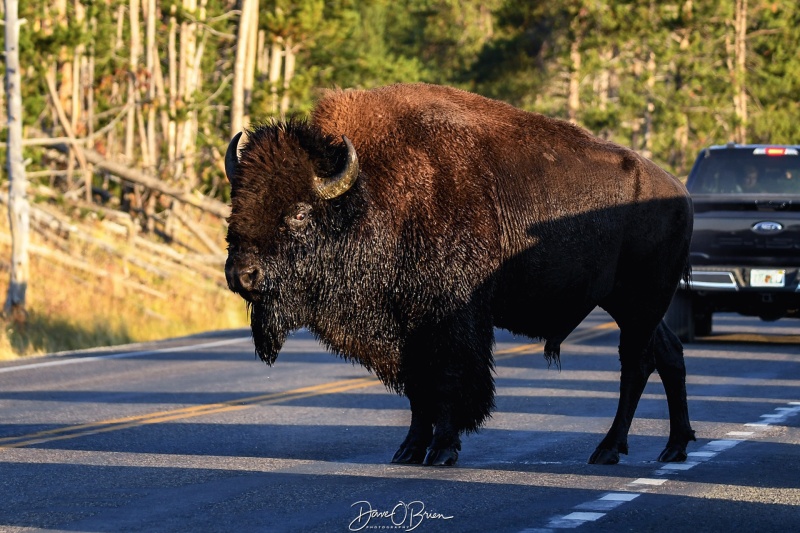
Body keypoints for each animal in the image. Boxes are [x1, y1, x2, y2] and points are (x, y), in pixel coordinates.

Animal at [223, 83, 692, 466]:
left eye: (300, 212)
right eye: (236, 204)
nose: (242, 274)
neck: (369, 195)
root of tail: (680, 191)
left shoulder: (449, 321)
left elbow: (449, 381)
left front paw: (443, 450)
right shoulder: (405, 328)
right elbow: (418, 390)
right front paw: (408, 450)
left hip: (639, 303)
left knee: (636, 364)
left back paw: (608, 449)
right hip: (632, 305)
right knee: (668, 353)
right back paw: (674, 447)